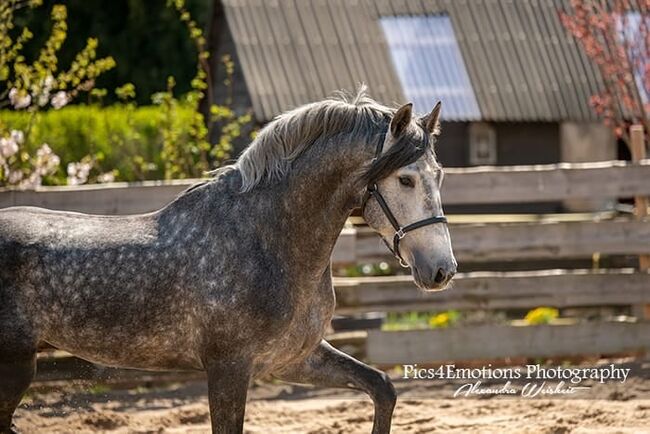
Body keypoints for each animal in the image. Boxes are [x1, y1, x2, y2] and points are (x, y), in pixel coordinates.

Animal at [0, 86, 456, 432]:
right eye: (405, 179)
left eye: (440, 175)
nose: (442, 271)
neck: (265, 240)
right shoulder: (228, 369)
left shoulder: (293, 359)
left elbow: (382, 387)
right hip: (15, 365)